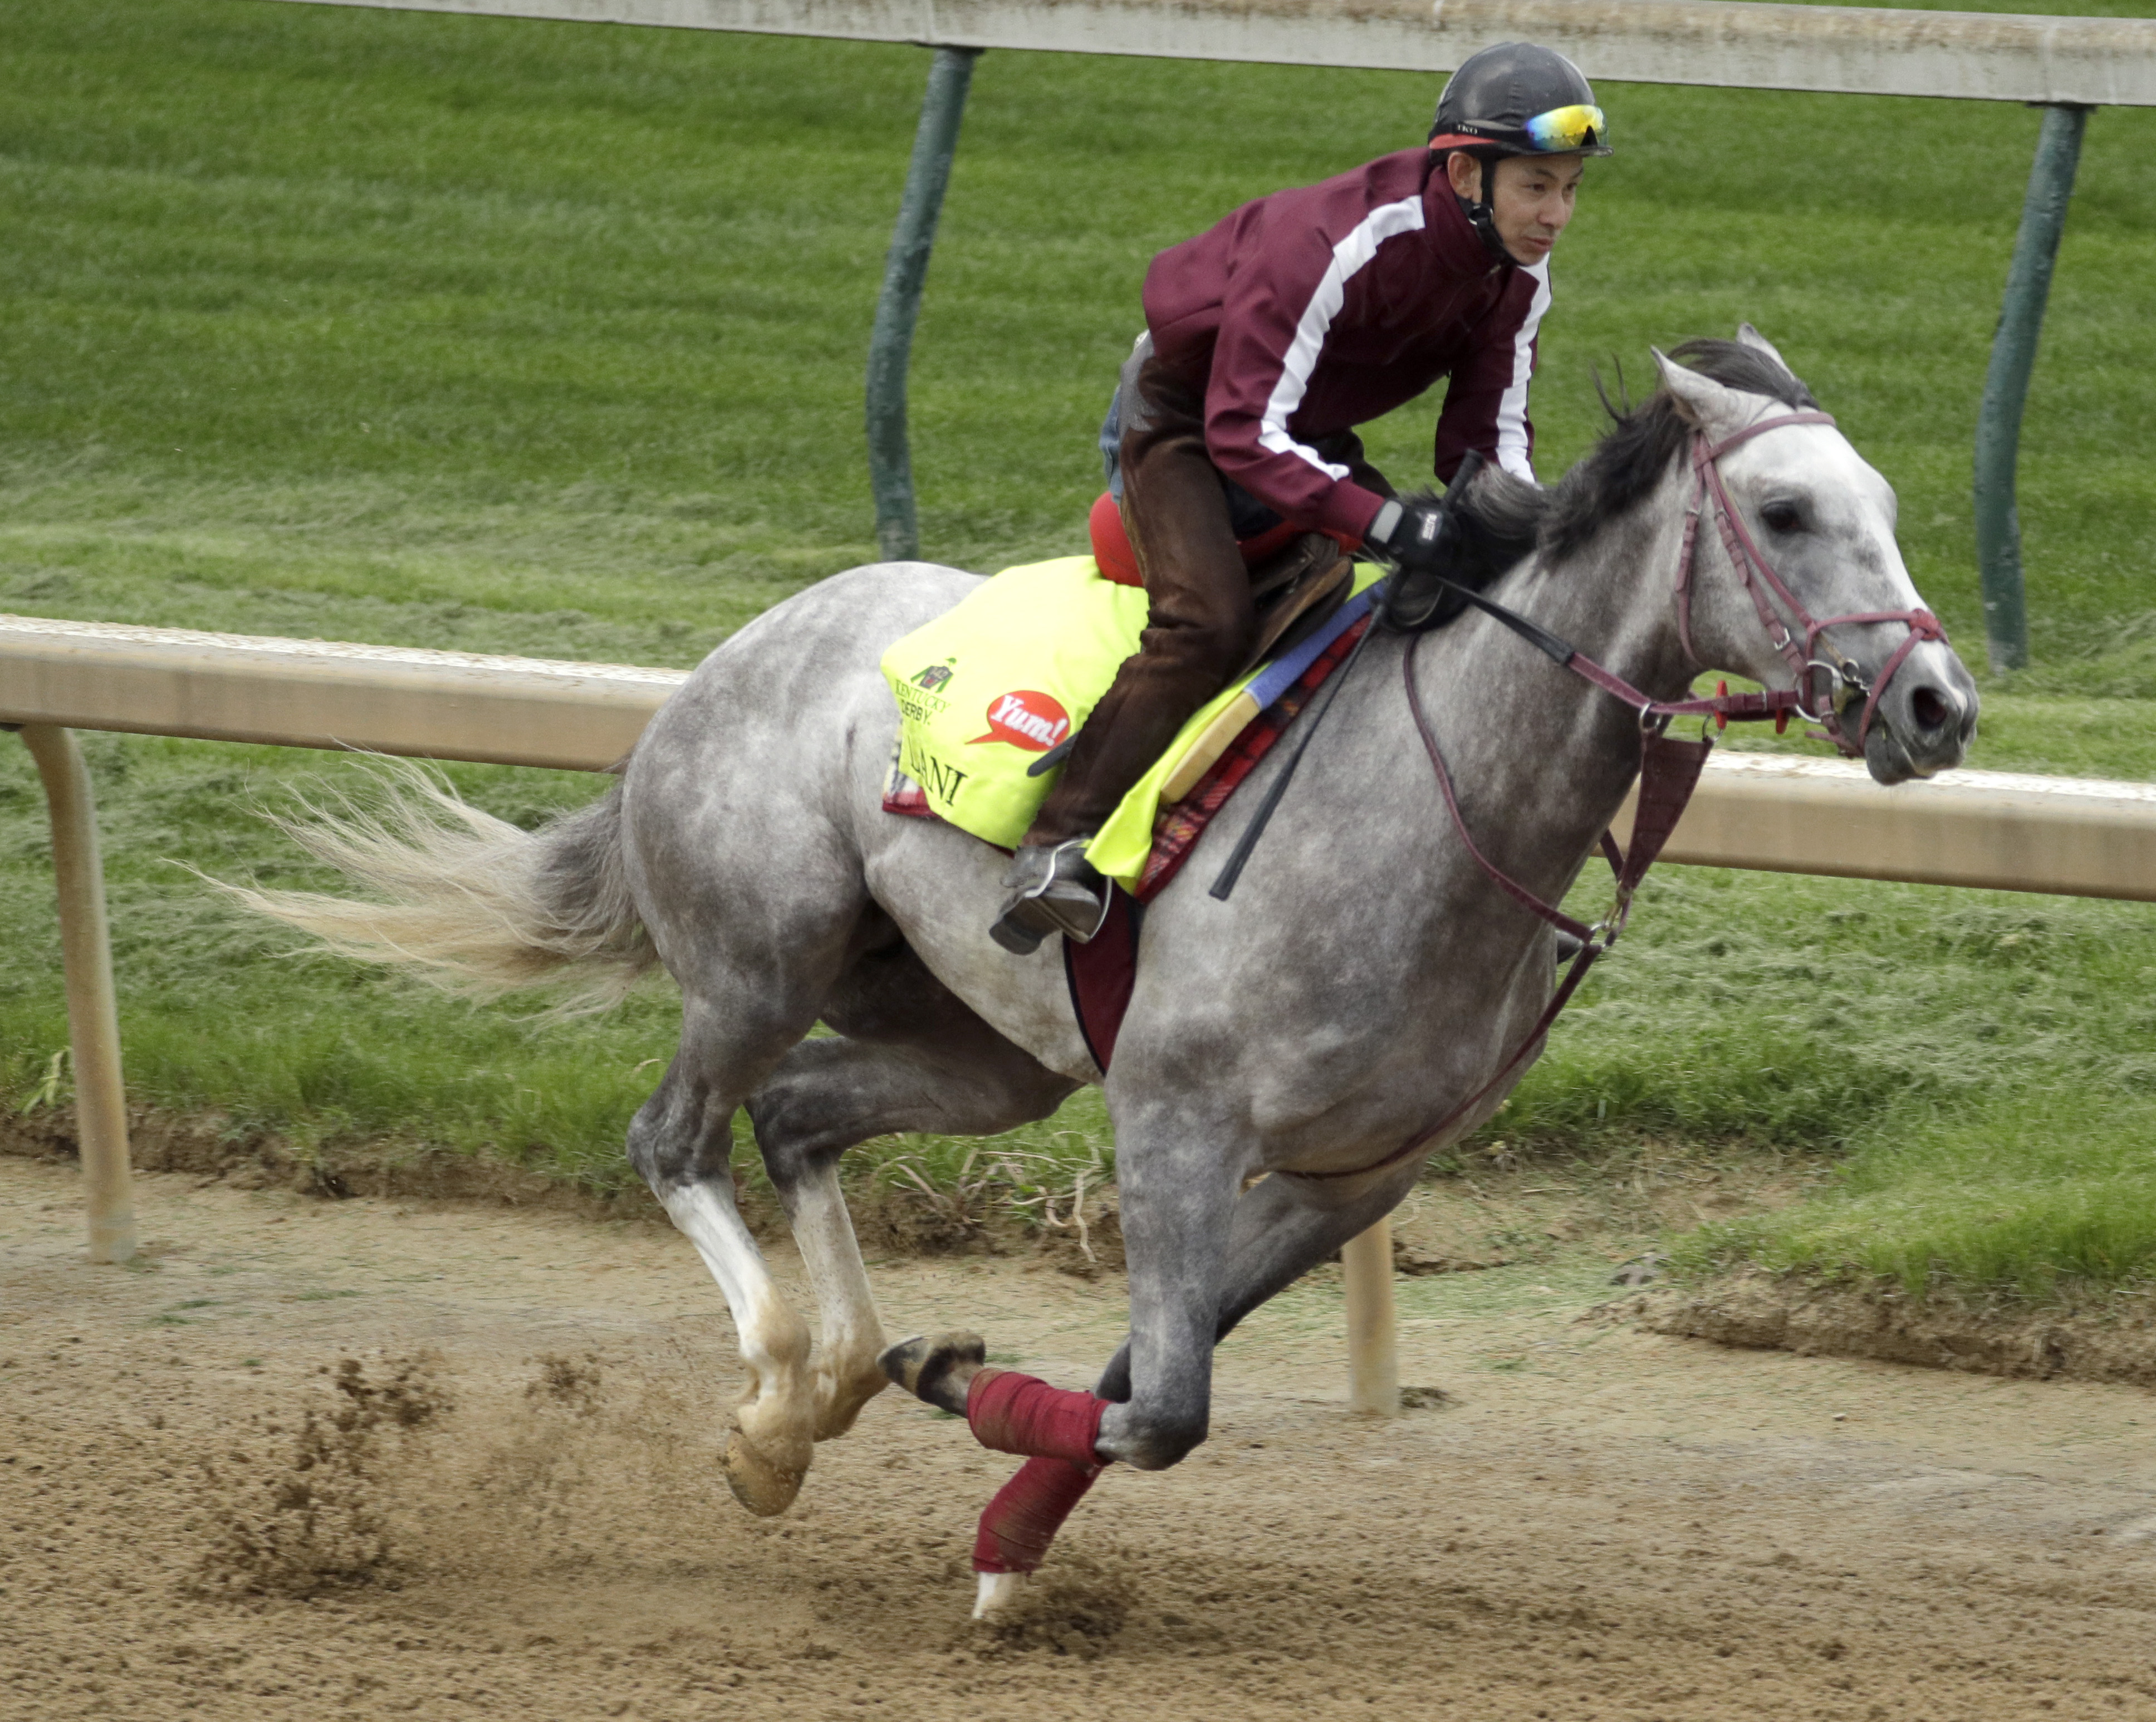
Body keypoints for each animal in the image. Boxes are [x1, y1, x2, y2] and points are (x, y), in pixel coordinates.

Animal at [232, 334, 1974, 1621]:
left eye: (1888, 499)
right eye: (1793, 511)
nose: (1938, 703)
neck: (1437, 803)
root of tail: (727, 655)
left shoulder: (1351, 1175)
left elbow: (1153, 1379)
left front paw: (999, 1510)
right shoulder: (1173, 1114)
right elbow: (1170, 1399)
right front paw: (967, 1414)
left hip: (984, 1049)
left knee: (798, 1120)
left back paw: (838, 1377)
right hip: (758, 958)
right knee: (679, 1136)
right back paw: (777, 1393)